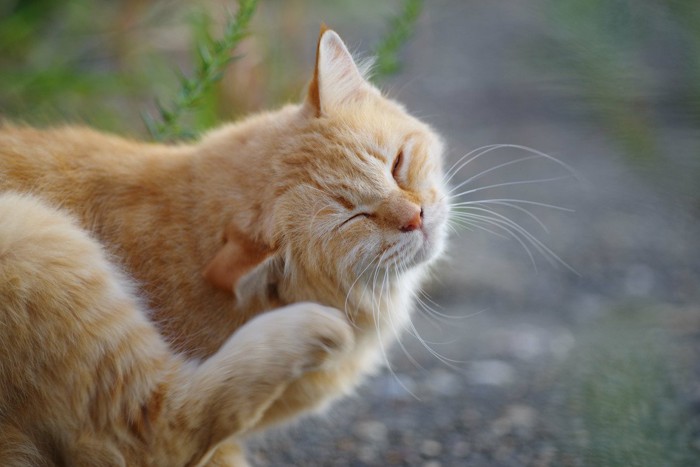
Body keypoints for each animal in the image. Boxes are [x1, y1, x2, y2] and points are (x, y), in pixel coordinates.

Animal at [0, 27, 448, 466]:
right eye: (355, 219)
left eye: (397, 164)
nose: (416, 217)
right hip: (30, 232)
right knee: (159, 434)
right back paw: (305, 329)